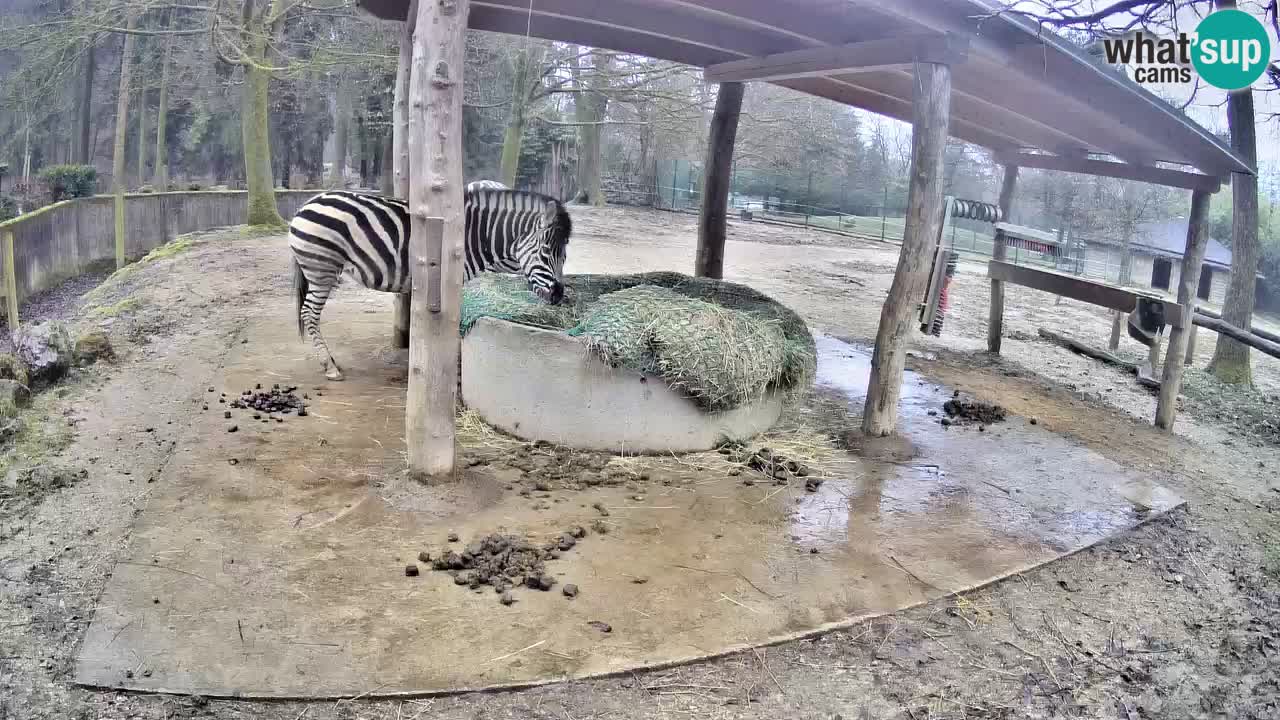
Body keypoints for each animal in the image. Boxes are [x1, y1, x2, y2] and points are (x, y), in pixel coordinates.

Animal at [288, 187, 572, 380]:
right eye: (546, 252)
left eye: (565, 255)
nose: (559, 295)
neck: (475, 236)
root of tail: (307, 203)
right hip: (322, 269)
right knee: (309, 314)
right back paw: (330, 367)